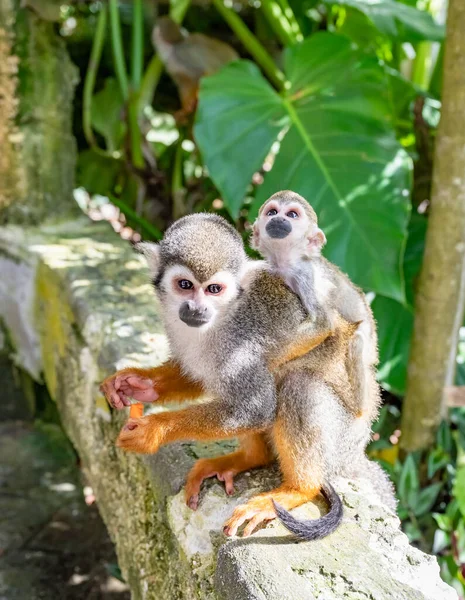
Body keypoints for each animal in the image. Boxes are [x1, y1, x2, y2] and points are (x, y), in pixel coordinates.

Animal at [99, 214, 394, 540]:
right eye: (185, 285)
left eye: (214, 289)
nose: (195, 308)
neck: (222, 319)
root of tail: (356, 451)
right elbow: (196, 375)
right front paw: (136, 383)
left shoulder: (243, 347)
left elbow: (255, 409)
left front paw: (153, 430)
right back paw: (251, 459)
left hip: (340, 439)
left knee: (297, 384)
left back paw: (298, 489)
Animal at [252, 190, 378, 420]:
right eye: (272, 212)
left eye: (292, 214)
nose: (278, 219)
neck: (287, 264)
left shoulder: (306, 276)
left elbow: (322, 324)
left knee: (356, 341)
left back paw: (360, 408)